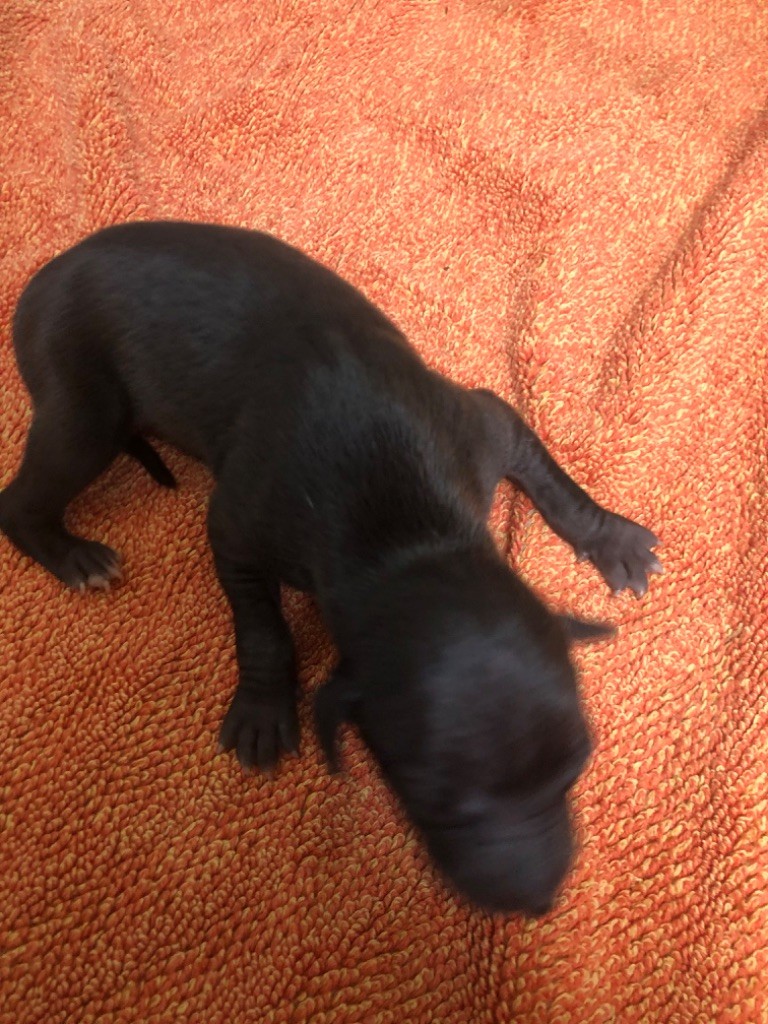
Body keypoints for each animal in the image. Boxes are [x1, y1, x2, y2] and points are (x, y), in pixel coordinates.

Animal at [0, 221, 661, 915]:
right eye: (430, 800)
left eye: (577, 767)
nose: (536, 902)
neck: (411, 540)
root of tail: (48, 271)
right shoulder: (240, 526)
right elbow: (262, 626)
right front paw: (264, 707)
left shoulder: (480, 428)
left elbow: (554, 480)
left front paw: (610, 537)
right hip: (84, 408)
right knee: (18, 501)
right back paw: (73, 556)